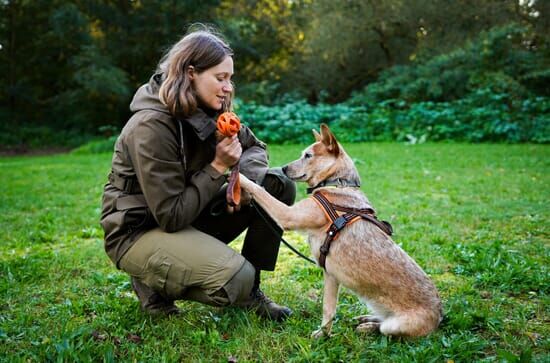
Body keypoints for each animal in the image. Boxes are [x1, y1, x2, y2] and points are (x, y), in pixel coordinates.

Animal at [240, 124, 444, 338]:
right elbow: (329, 308)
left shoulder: (288, 216)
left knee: (384, 329)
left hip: (394, 326)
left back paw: (368, 327)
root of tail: (440, 316)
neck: (338, 183)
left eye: (308, 155)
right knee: (379, 319)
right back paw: (366, 320)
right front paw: (324, 334)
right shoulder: (331, 276)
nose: (284, 168)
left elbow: (258, 189)